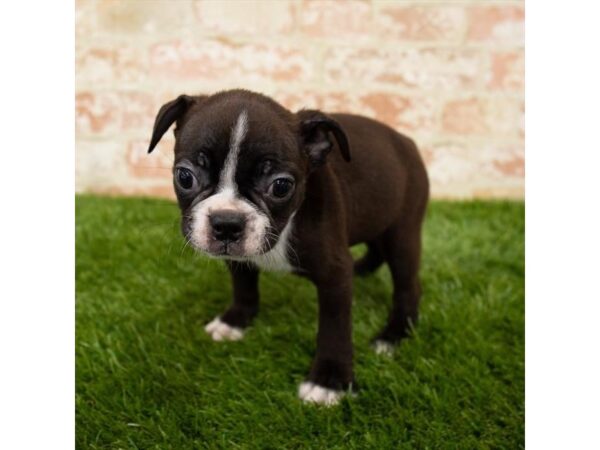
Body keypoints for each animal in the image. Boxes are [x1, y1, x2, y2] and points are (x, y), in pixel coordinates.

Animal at [150, 89, 432, 406]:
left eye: (281, 186)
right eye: (184, 177)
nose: (227, 223)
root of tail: (406, 140)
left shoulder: (335, 276)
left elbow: (335, 329)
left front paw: (329, 381)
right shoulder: (238, 258)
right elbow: (244, 287)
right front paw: (235, 321)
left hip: (402, 232)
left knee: (407, 284)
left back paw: (393, 335)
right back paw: (362, 270)